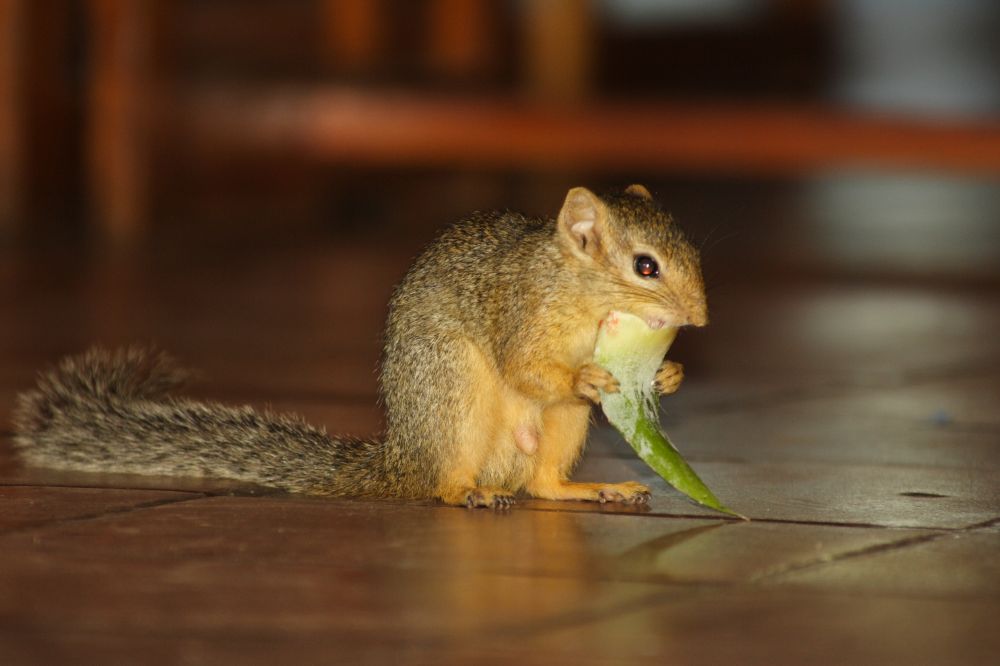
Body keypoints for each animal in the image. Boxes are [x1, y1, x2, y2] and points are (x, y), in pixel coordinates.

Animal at [11, 184, 708, 506]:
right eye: (646, 266)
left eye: (689, 248)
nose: (699, 317)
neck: (581, 291)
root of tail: (400, 461)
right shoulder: (519, 308)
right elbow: (526, 367)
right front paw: (587, 377)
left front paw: (670, 374)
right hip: (452, 394)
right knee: (445, 482)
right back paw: (469, 491)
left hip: (561, 430)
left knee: (542, 485)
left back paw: (592, 490)